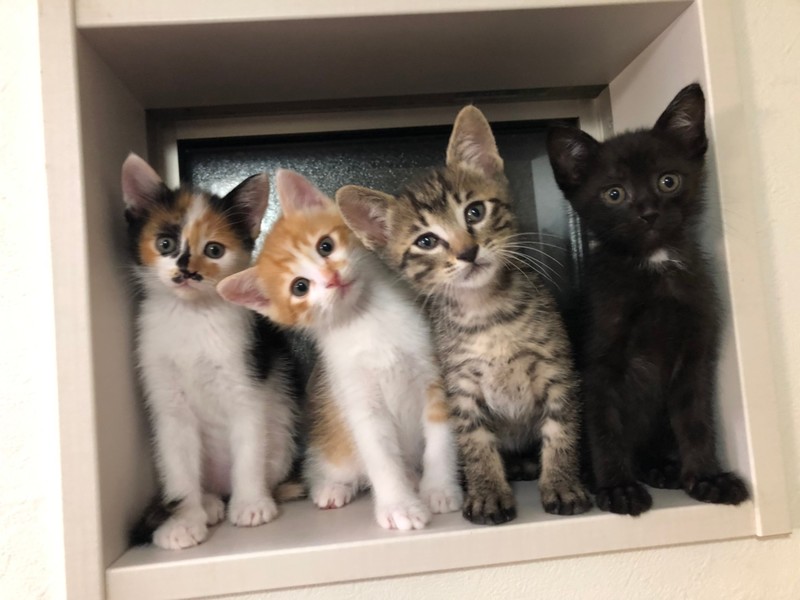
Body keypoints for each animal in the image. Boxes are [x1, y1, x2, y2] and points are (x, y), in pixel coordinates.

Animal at [122, 154, 298, 549]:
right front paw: (184, 521)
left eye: (214, 250)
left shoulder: (246, 384)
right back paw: (207, 504)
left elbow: (248, 446)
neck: (192, 317)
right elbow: (177, 468)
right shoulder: (168, 404)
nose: (187, 271)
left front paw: (251, 505)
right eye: (166, 244)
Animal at [217, 169, 462, 531]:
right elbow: (380, 456)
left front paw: (440, 490)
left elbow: (440, 441)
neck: (368, 319)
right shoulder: (357, 397)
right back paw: (332, 488)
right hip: (332, 443)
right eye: (300, 287)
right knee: (331, 469)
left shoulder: (433, 378)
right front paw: (399, 507)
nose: (331, 278)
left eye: (325, 246)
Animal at [335, 106, 591, 525]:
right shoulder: (461, 387)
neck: (487, 313)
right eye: (426, 241)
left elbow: (561, 431)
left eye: (475, 211)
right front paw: (487, 493)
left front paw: (563, 484)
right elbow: (475, 443)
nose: (468, 252)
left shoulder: (558, 371)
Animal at [546, 83, 749, 515]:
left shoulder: (694, 355)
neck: (653, 266)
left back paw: (661, 467)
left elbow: (696, 420)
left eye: (668, 181)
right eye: (614, 193)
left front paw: (706, 477)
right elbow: (605, 426)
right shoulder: (599, 365)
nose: (649, 213)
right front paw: (617, 487)